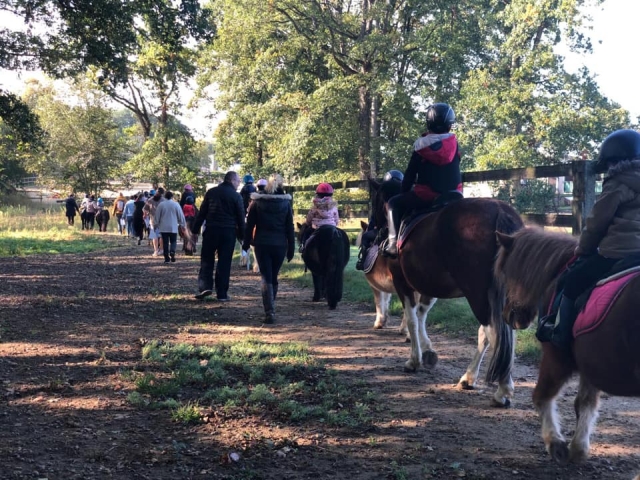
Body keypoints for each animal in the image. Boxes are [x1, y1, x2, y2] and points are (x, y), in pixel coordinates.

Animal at [371, 188, 524, 407]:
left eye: (375, 200)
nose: (373, 231)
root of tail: (499, 210)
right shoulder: (428, 288)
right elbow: (421, 316)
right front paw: (428, 351)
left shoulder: (403, 284)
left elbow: (411, 320)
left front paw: (414, 360)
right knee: (490, 333)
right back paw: (469, 378)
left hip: (477, 294)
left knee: (492, 331)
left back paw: (502, 390)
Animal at [495, 227, 640, 469]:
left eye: (506, 274)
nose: (509, 316)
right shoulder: (592, 363)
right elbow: (585, 404)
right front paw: (578, 449)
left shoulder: (557, 359)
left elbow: (541, 396)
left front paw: (556, 444)